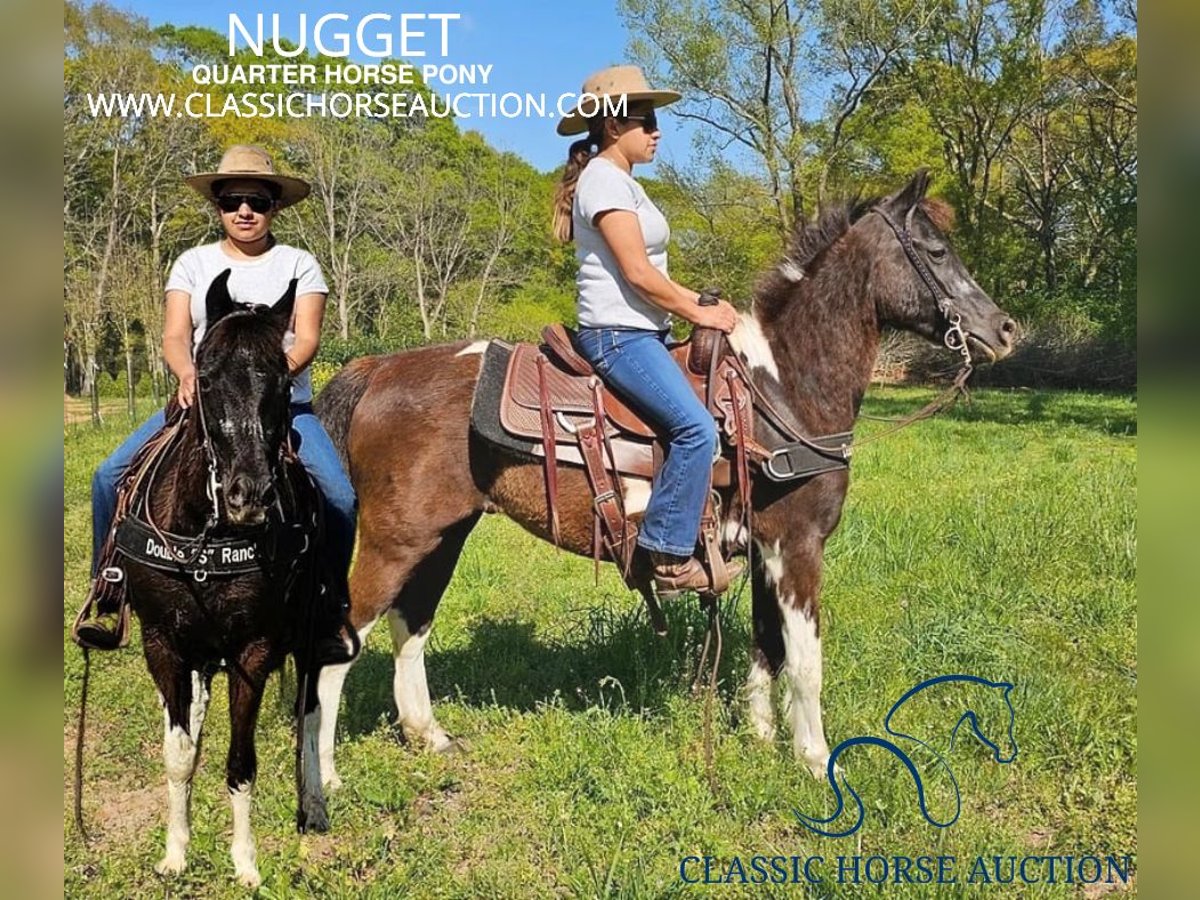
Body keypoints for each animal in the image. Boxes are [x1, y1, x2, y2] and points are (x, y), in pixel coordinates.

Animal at [113, 273, 348, 888]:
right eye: (206, 375)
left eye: (283, 380)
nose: (250, 495)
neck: (206, 535)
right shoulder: (163, 643)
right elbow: (179, 753)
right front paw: (175, 852)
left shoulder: (255, 649)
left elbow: (242, 761)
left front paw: (245, 862)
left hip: (309, 641)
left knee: (310, 715)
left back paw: (315, 806)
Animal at [314, 169, 1017, 787]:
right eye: (937, 250)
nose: (1005, 328)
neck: (782, 390)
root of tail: (376, 368)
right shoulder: (798, 545)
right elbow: (806, 661)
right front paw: (817, 762)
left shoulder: (764, 549)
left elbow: (767, 644)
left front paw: (761, 736)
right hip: (394, 541)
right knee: (342, 642)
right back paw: (325, 777)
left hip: (441, 535)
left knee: (412, 623)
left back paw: (428, 736)